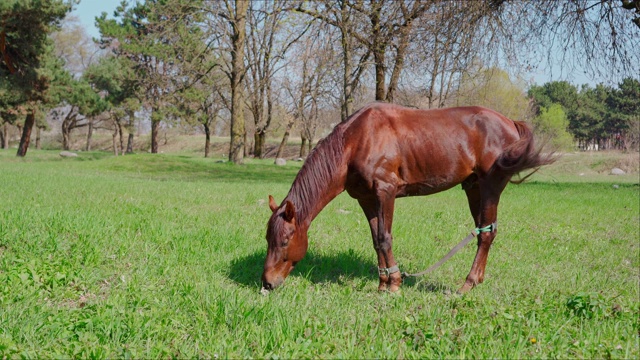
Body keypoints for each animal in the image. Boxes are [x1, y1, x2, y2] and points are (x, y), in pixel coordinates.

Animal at [262, 102, 552, 294]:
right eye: (268, 239)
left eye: (285, 240)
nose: (267, 282)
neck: (355, 141)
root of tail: (510, 123)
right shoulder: (366, 199)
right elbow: (376, 240)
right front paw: (382, 283)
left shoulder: (385, 192)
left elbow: (385, 237)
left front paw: (394, 284)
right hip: (473, 188)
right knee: (484, 231)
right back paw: (476, 280)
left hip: (490, 186)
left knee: (487, 234)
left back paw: (467, 284)